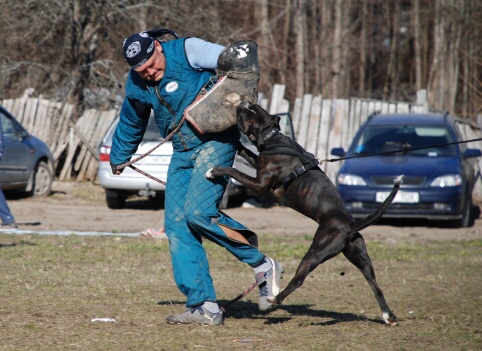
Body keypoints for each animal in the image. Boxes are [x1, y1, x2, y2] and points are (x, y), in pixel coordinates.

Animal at [207, 101, 400, 324]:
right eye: (255, 107)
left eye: (250, 113)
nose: (245, 103)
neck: (271, 137)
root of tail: (350, 226)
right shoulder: (257, 163)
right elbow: (247, 152)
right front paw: (236, 143)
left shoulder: (260, 185)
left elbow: (235, 171)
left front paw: (214, 170)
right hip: (360, 257)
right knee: (375, 284)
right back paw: (388, 315)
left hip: (316, 251)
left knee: (299, 279)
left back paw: (275, 299)